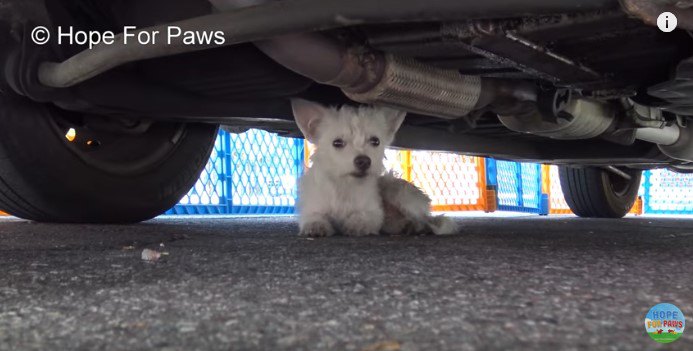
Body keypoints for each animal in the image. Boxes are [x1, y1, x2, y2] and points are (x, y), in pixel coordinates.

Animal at [290, 97, 456, 238]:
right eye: (337, 143)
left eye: (375, 141)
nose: (364, 161)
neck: (345, 185)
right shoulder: (313, 207)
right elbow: (313, 216)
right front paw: (315, 225)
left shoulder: (373, 212)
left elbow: (365, 217)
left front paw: (357, 224)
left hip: (397, 190)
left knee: (426, 220)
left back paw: (419, 227)